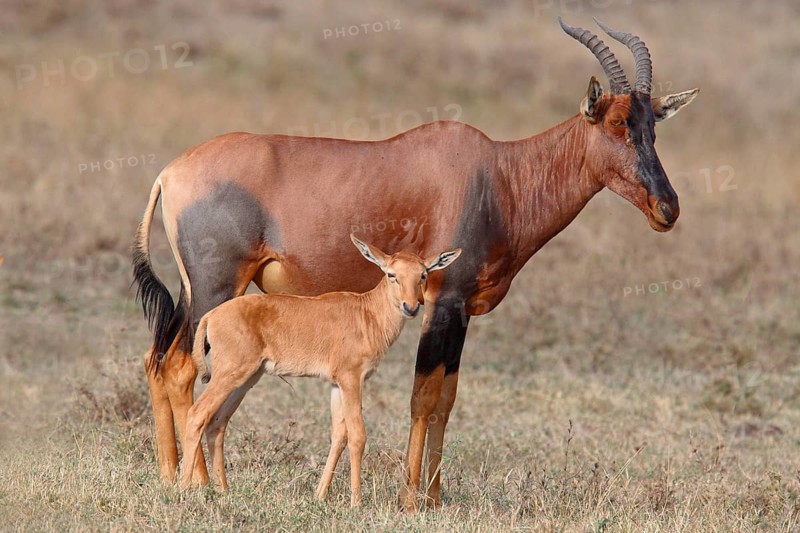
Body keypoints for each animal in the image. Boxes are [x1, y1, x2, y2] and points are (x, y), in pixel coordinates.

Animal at [180, 235, 461, 505]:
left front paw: (320, 495)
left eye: (422, 274)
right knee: (196, 415)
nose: (410, 307)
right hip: (229, 375)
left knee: (217, 422)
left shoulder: (336, 384)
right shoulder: (351, 380)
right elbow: (357, 434)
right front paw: (356, 502)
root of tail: (212, 316)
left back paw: (223, 490)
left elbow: (339, 434)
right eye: (392, 274)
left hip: (246, 379)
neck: (366, 313)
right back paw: (181, 489)